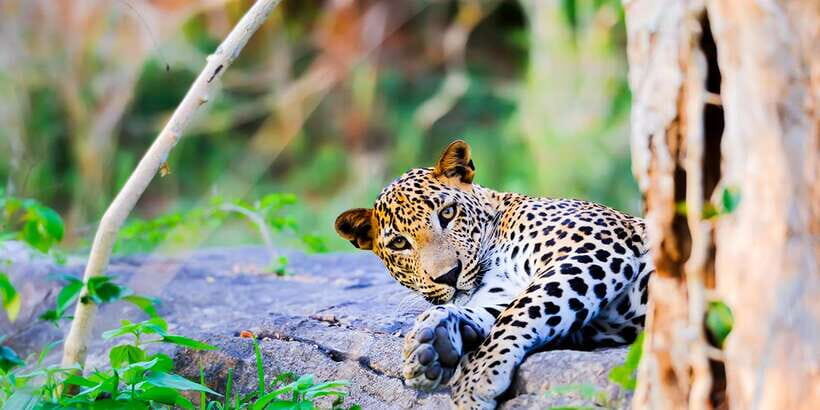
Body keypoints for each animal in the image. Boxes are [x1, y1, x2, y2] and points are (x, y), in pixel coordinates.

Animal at [335, 140, 653, 409]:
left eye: (448, 213)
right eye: (399, 243)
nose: (449, 275)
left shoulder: (592, 246)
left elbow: (521, 311)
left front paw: (475, 379)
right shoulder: (505, 290)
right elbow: (499, 310)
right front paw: (433, 340)